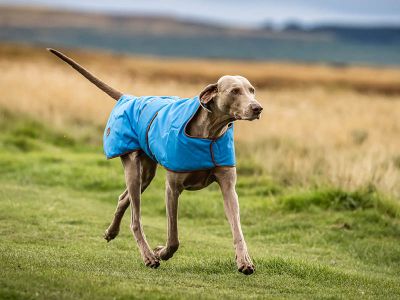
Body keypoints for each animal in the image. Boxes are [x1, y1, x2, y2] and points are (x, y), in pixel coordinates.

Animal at [48, 48, 264, 276]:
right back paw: (148, 256)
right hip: (133, 168)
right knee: (135, 219)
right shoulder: (172, 189)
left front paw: (244, 261)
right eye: (234, 91)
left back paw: (111, 232)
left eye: (252, 90)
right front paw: (161, 252)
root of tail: (128, 98)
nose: (258, 108)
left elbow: (237, 229)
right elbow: (174, 236)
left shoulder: (228, 187)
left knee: (123, 199)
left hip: (146, 174)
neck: (209, 135)